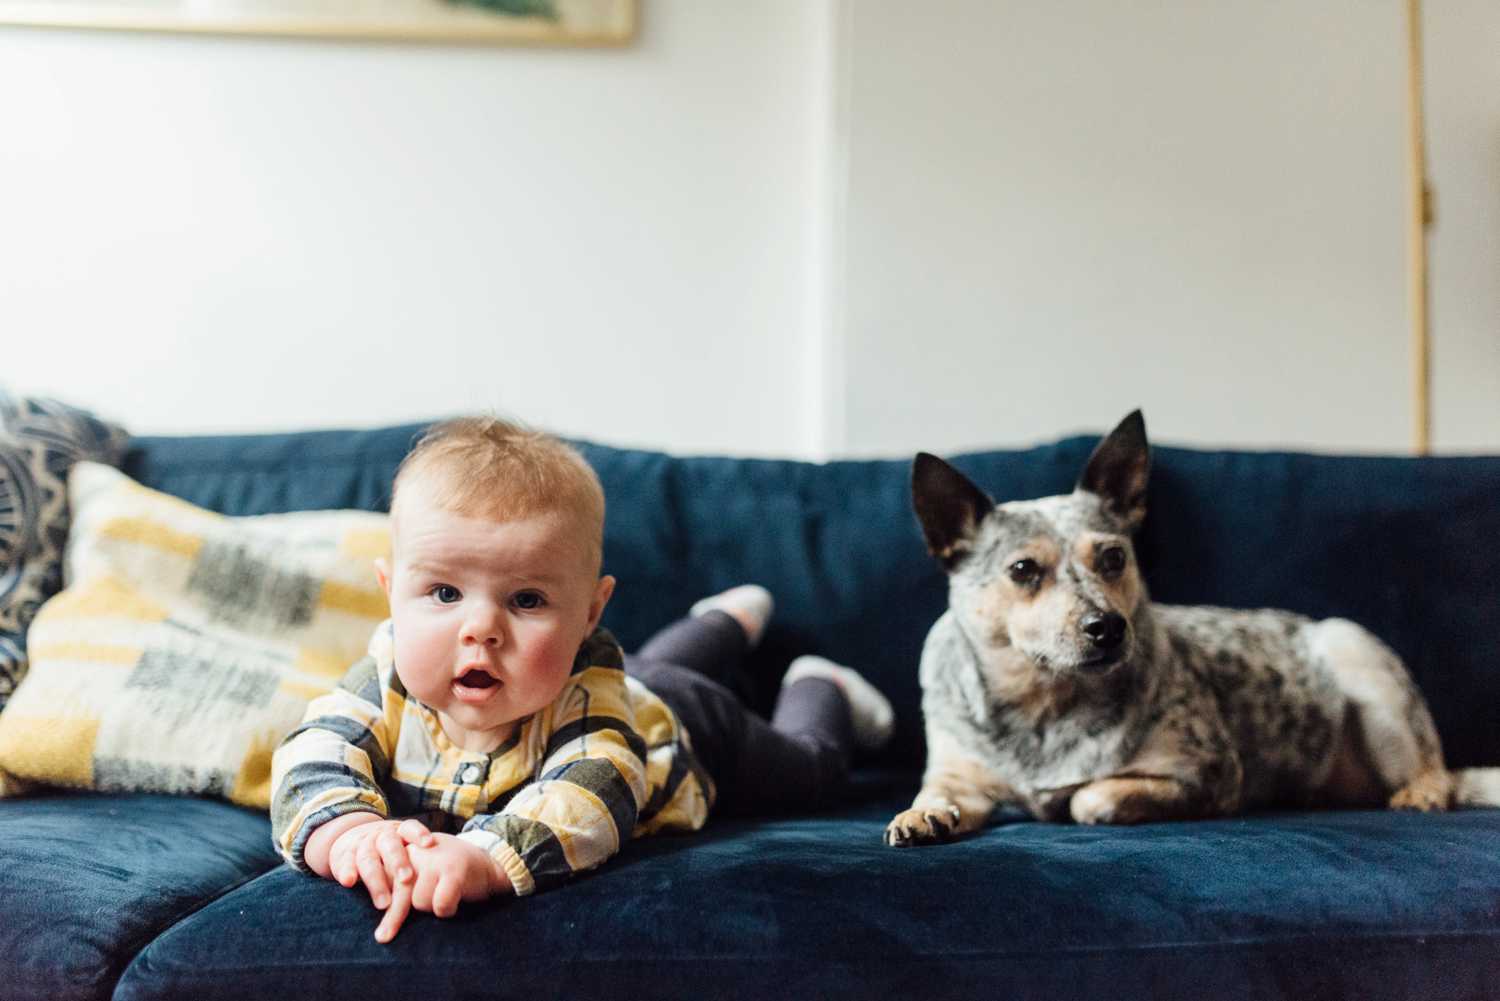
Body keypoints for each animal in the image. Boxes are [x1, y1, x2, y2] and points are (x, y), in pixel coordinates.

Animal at [882, 408, 1494, 846]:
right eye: (1022, 570)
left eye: (1113, 558)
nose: (1108, 626)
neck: (1044, 706)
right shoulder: (959, 777)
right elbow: (935, 795)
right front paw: (921, 816)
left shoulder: (1210, 773)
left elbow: (1090, 799)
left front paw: (1072, 800)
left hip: (1362, 666)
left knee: (1434, 768)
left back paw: (1422, 791)